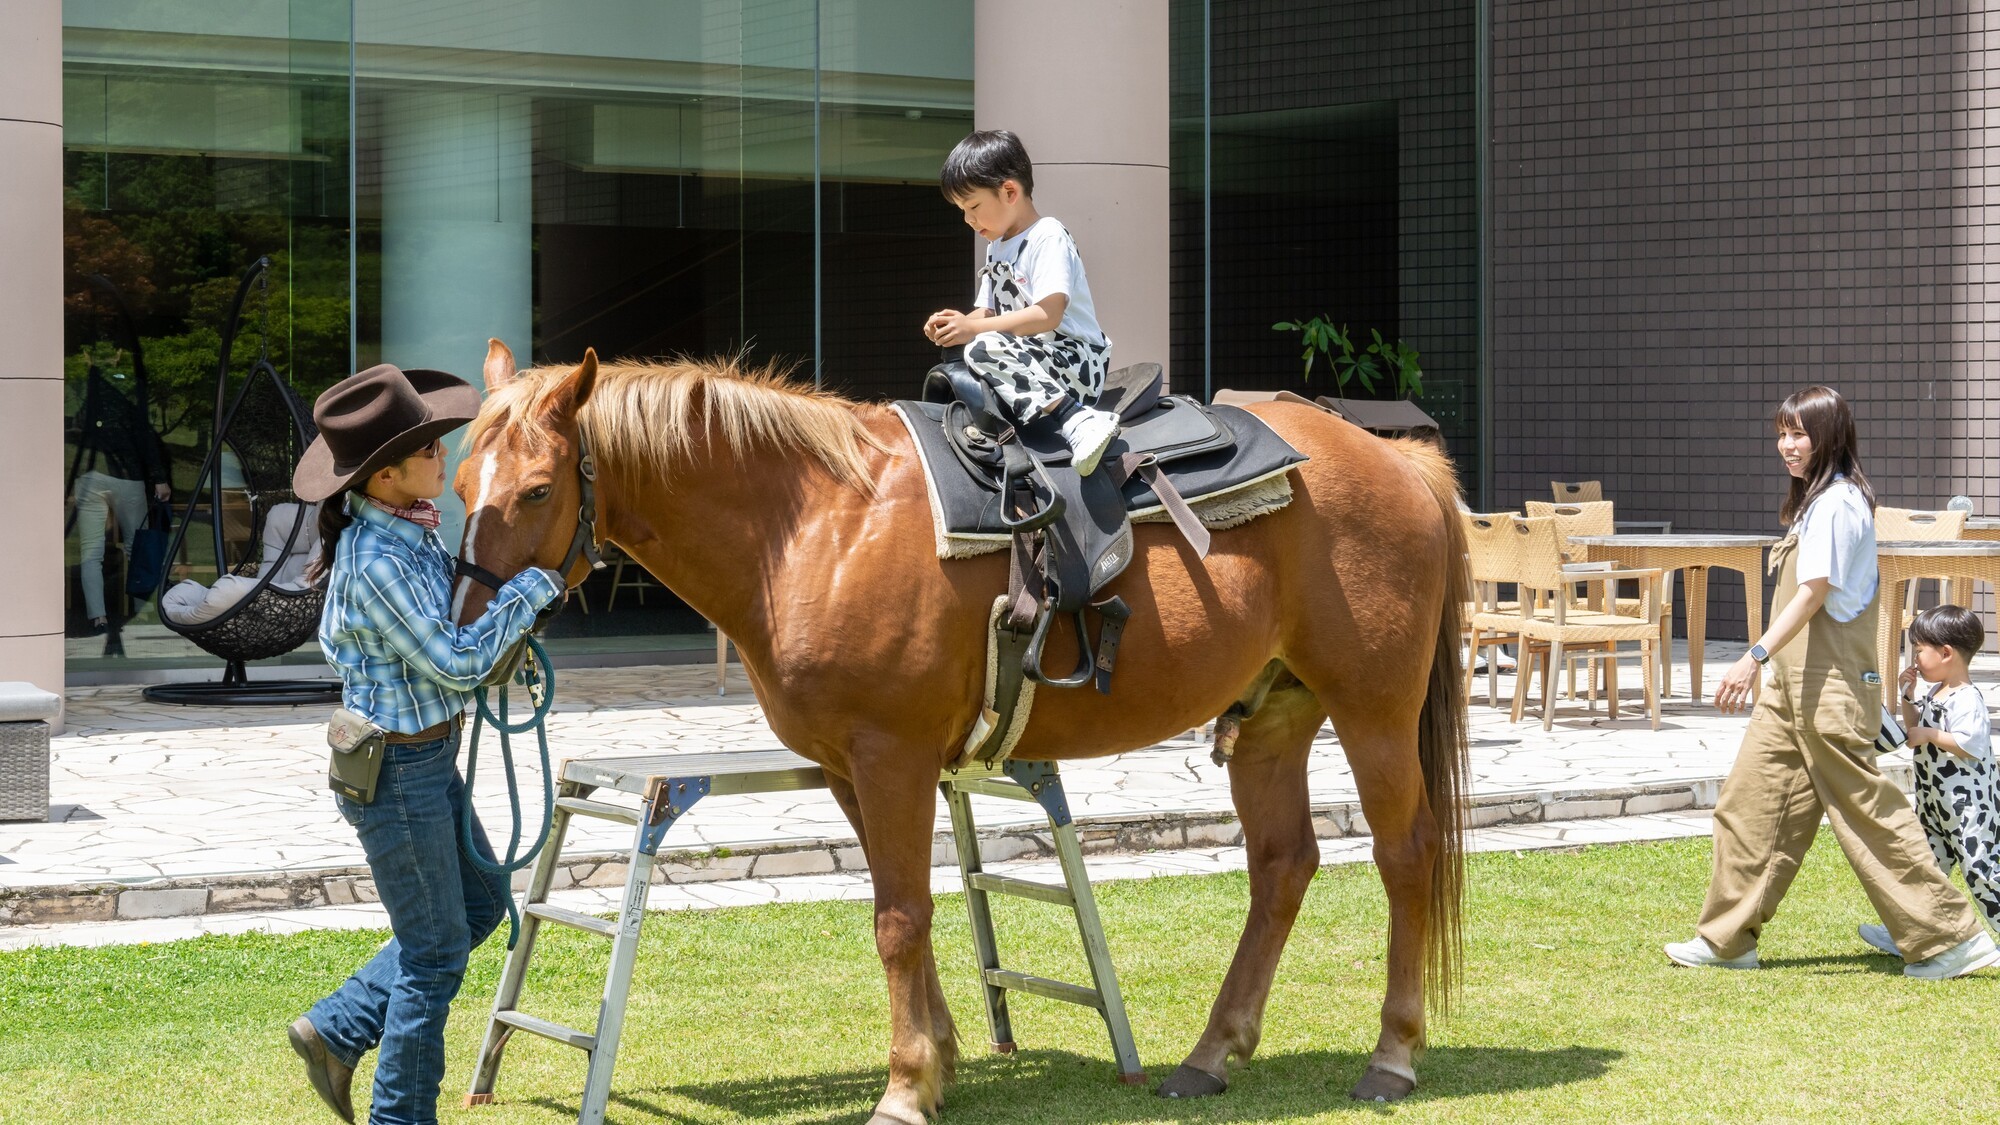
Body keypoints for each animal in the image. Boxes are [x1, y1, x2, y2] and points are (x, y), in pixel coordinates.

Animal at [460, 340, 1480, 1112]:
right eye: (464, 478)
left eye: (539, 490)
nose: (470, 620)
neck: (812, 521)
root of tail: (1399, 460)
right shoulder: (850, 766)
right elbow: (896, 906)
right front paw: (939, 1056)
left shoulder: (893, 756)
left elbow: (900, 918)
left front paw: (907, 1084)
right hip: (1272, 714)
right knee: (1282, 866)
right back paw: (1211, 1052)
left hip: (1373, 710)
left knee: (1405, 853)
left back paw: (1392, 1055)